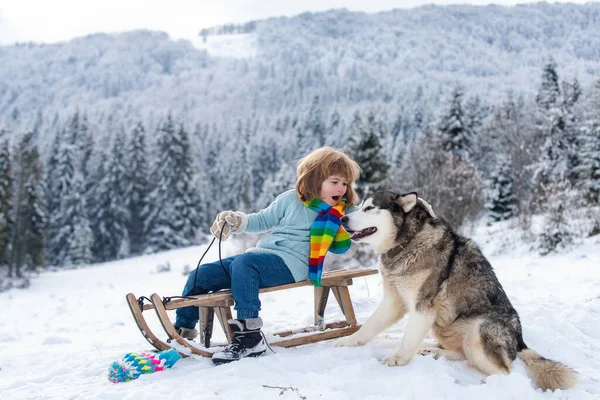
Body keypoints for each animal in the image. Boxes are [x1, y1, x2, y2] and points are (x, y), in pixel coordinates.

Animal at [336, 191, 580, 390]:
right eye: (361, 205)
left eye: (369, 208)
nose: (343, 218)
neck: (407, 241)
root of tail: (520, 341)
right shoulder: (393, 301)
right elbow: (368, 327)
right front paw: (348, 342)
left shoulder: (422, 307)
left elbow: (407, 339)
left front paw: (398, 359)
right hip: (442, 327)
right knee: (464, 356)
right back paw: (434, 351)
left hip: (478, 331)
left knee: (505, 371)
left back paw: (488, 384)